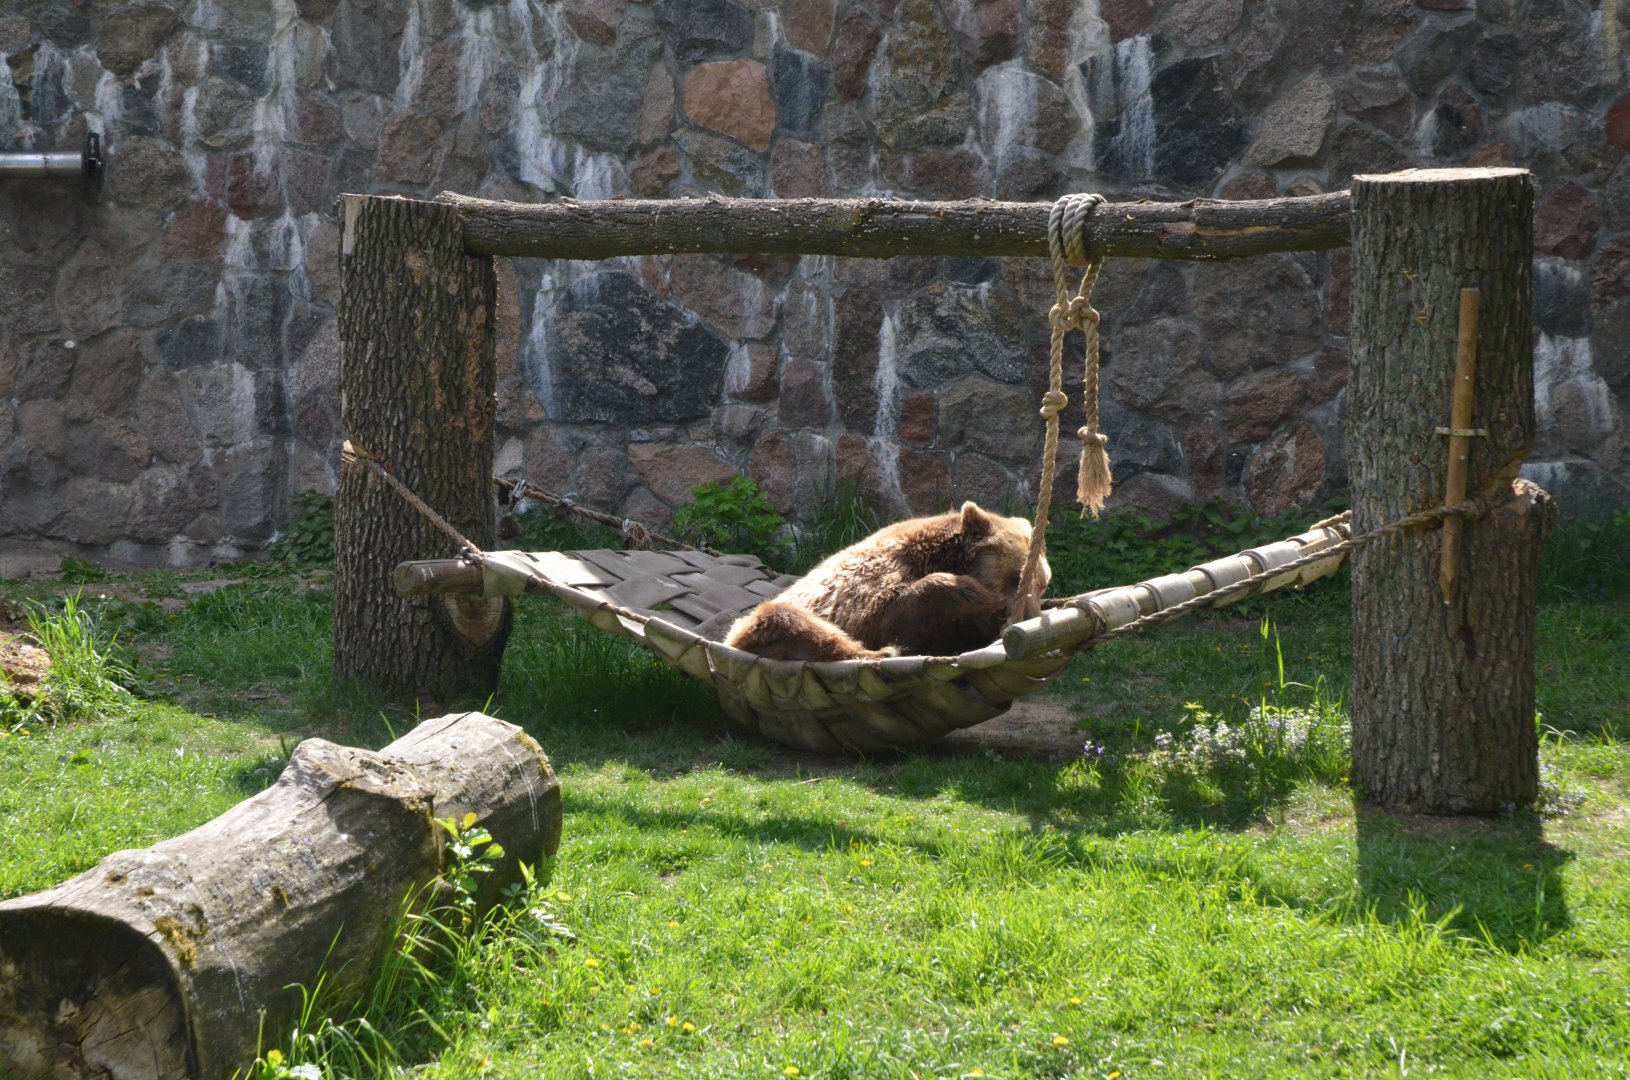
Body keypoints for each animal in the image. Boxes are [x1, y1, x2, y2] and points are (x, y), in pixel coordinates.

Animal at [723, 501, 1048, 661]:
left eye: (1044, 582)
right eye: (1016, 578)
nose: (1030, 616)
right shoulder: (870, 588)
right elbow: (889, 611)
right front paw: (980, 601)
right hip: (756, 626)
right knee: (788, 621)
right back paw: (885, 652)